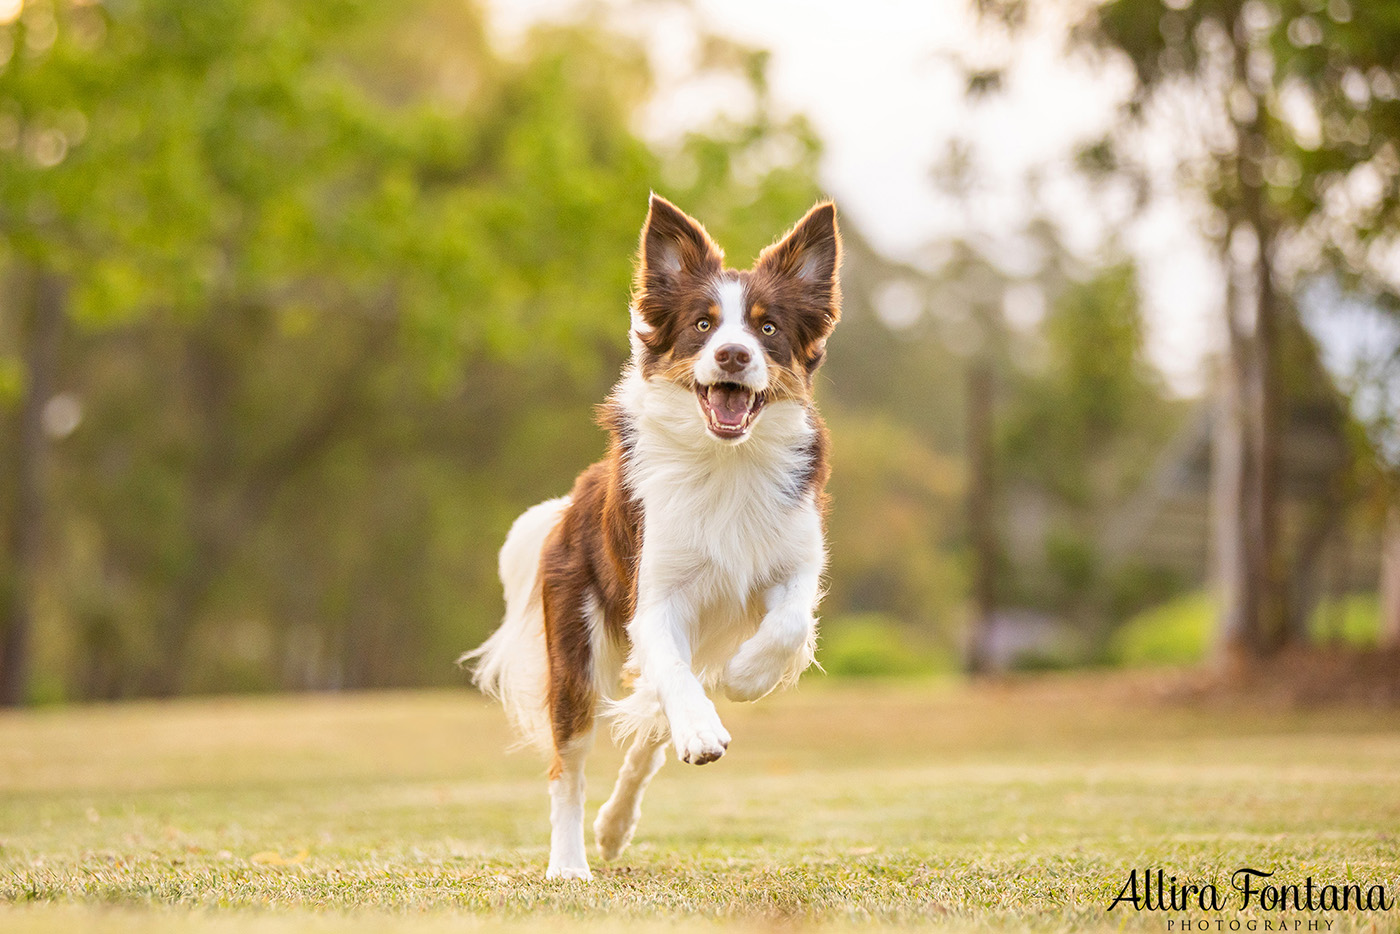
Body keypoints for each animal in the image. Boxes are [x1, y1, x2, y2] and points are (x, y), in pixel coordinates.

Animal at [462, 193, 840, 879]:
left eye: (768, 330)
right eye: (703, 325)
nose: (734, 355)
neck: (725, 464)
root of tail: (573, 499)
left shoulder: (796, 563)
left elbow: (789, 626)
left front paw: (745, 677)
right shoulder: (655, 598)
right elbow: (670, 671)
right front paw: (705, 730)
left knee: (648, 735)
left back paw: (615, 827)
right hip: (576, 649)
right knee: (570, 765)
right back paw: (571, 863)